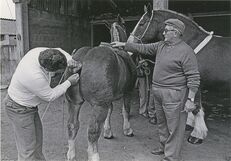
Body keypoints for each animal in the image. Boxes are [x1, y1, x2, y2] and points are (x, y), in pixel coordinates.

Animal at [64, 15, 136, 161]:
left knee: (72, 125)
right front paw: (127, 130)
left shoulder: (109, 99)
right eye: (125, 25)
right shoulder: (128, 92)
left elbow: (110, 111)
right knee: (93, 131)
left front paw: (108, 132)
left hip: (74, 103)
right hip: (99, 106)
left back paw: (71, 153)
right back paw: (94, 155)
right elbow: (126, 110)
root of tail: (81, 60)